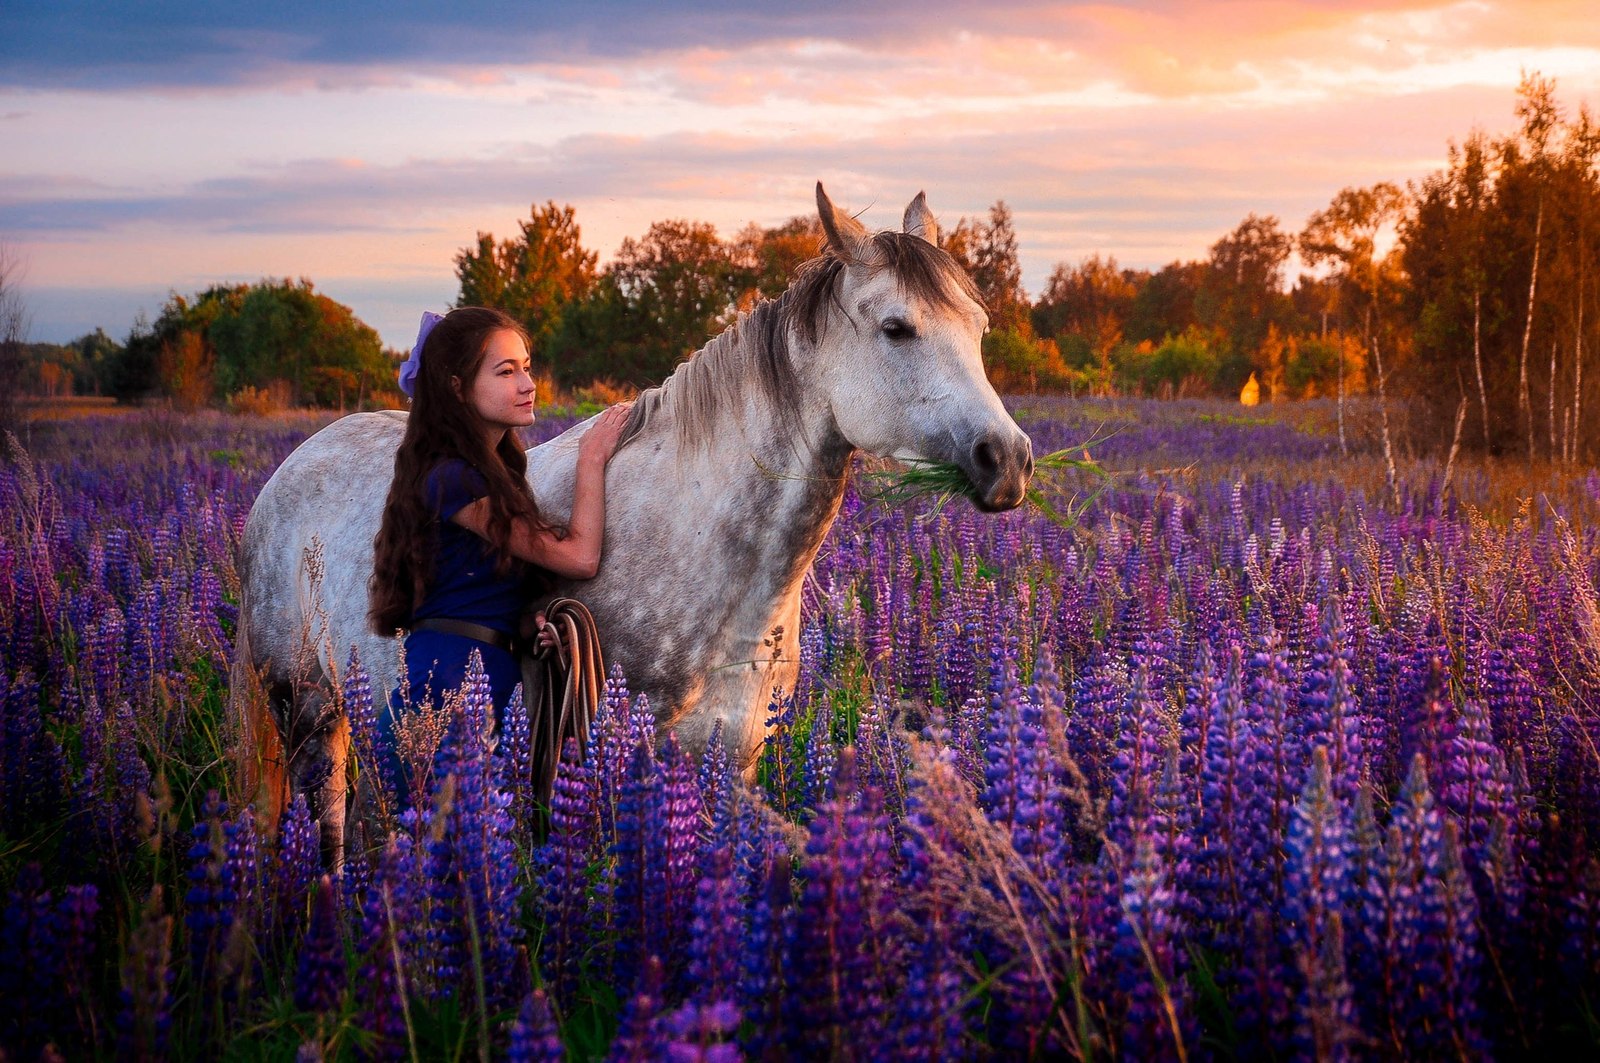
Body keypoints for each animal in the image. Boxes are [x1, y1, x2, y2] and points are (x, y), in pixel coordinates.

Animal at [236, 184, 1036, 858]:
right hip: (304, 705)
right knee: (325, 825)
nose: (1009, 459)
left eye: (979, 326)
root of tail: (284, 476)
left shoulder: (730, 762)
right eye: (897, 329)